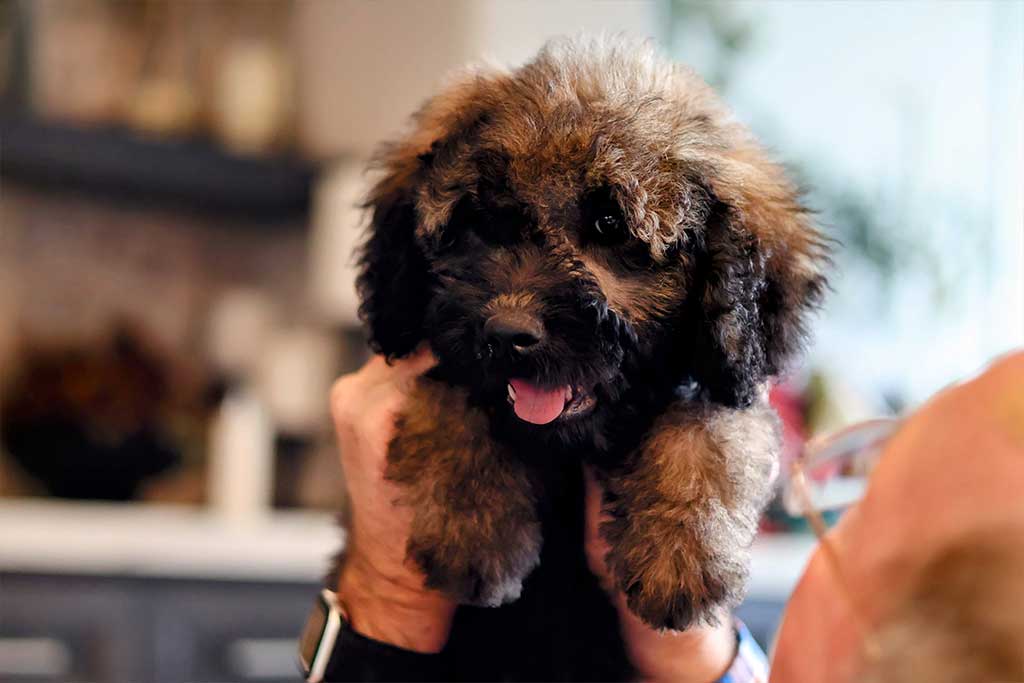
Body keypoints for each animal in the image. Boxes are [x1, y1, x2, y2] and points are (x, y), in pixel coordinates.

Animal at [356, 37, 827, 634]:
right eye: (481, 223)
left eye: (610, 226)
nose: (506, 333)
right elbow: (454, 405)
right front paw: (474, 534)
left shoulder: (730, 377)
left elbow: (713, 427)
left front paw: (681, 557)